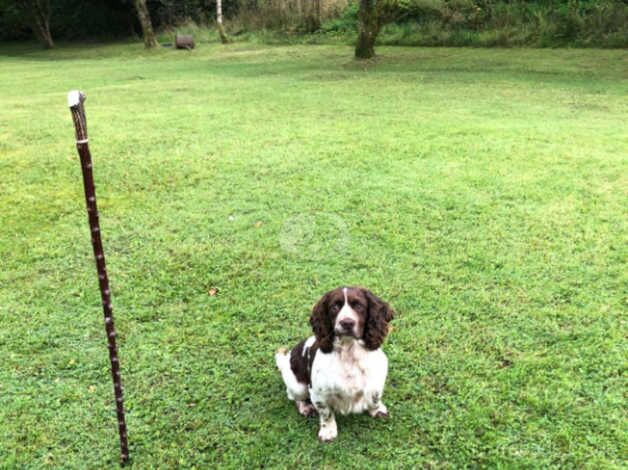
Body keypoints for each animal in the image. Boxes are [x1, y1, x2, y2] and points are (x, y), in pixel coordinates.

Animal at [274, 284, 392, 442]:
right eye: (335, 307)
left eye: (359, 305)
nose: (347, 323)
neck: (349, 351)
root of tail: (286, 359)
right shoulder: (318, 393)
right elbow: (326, 413)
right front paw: (328, 431)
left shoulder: (376, 381)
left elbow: (375, 398)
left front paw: (377, 411)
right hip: (297, 386)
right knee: (294, 397)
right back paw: (305, 407)